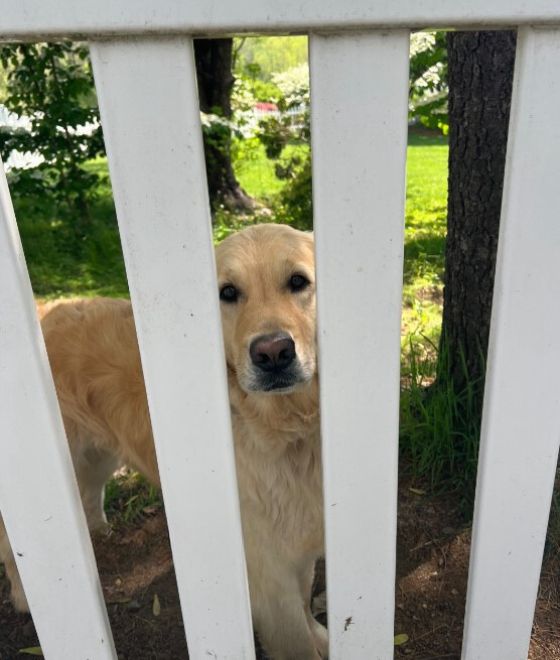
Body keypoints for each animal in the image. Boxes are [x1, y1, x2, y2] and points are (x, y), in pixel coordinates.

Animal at [0, 224, 326, 660]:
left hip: (97, 456)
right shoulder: (267, 574)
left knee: (88, 492)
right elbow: (296, 637)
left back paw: (98, 531)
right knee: (12, 544)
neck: (286, 430)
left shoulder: (299, 549)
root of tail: (43, 313)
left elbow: (306, 602)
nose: (273, 353)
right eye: (227, 292)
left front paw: (322, 634)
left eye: (297, 282)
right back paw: (23, 596)